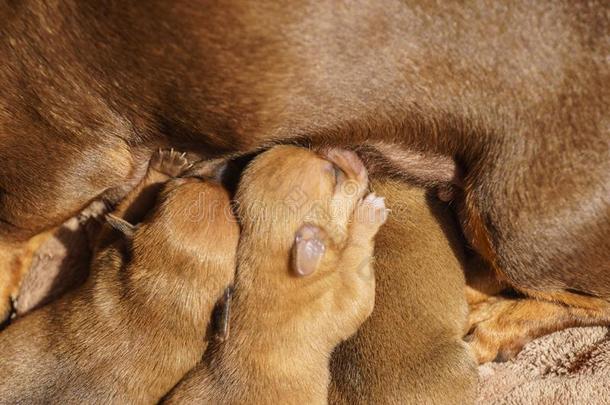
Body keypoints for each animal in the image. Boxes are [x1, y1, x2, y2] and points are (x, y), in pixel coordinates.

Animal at [0, 150, 236, 402]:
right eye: (187, 182)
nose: (225, 171)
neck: (164, 292)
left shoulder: (106, 251)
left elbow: (118, 215)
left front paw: (164, 166)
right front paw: (165, 167)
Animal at [163, 145, 384, 404]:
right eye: (336, 174)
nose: (337, 148)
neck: (267, 253)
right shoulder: (342, 301)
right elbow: (355, 262)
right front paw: (368, 214)